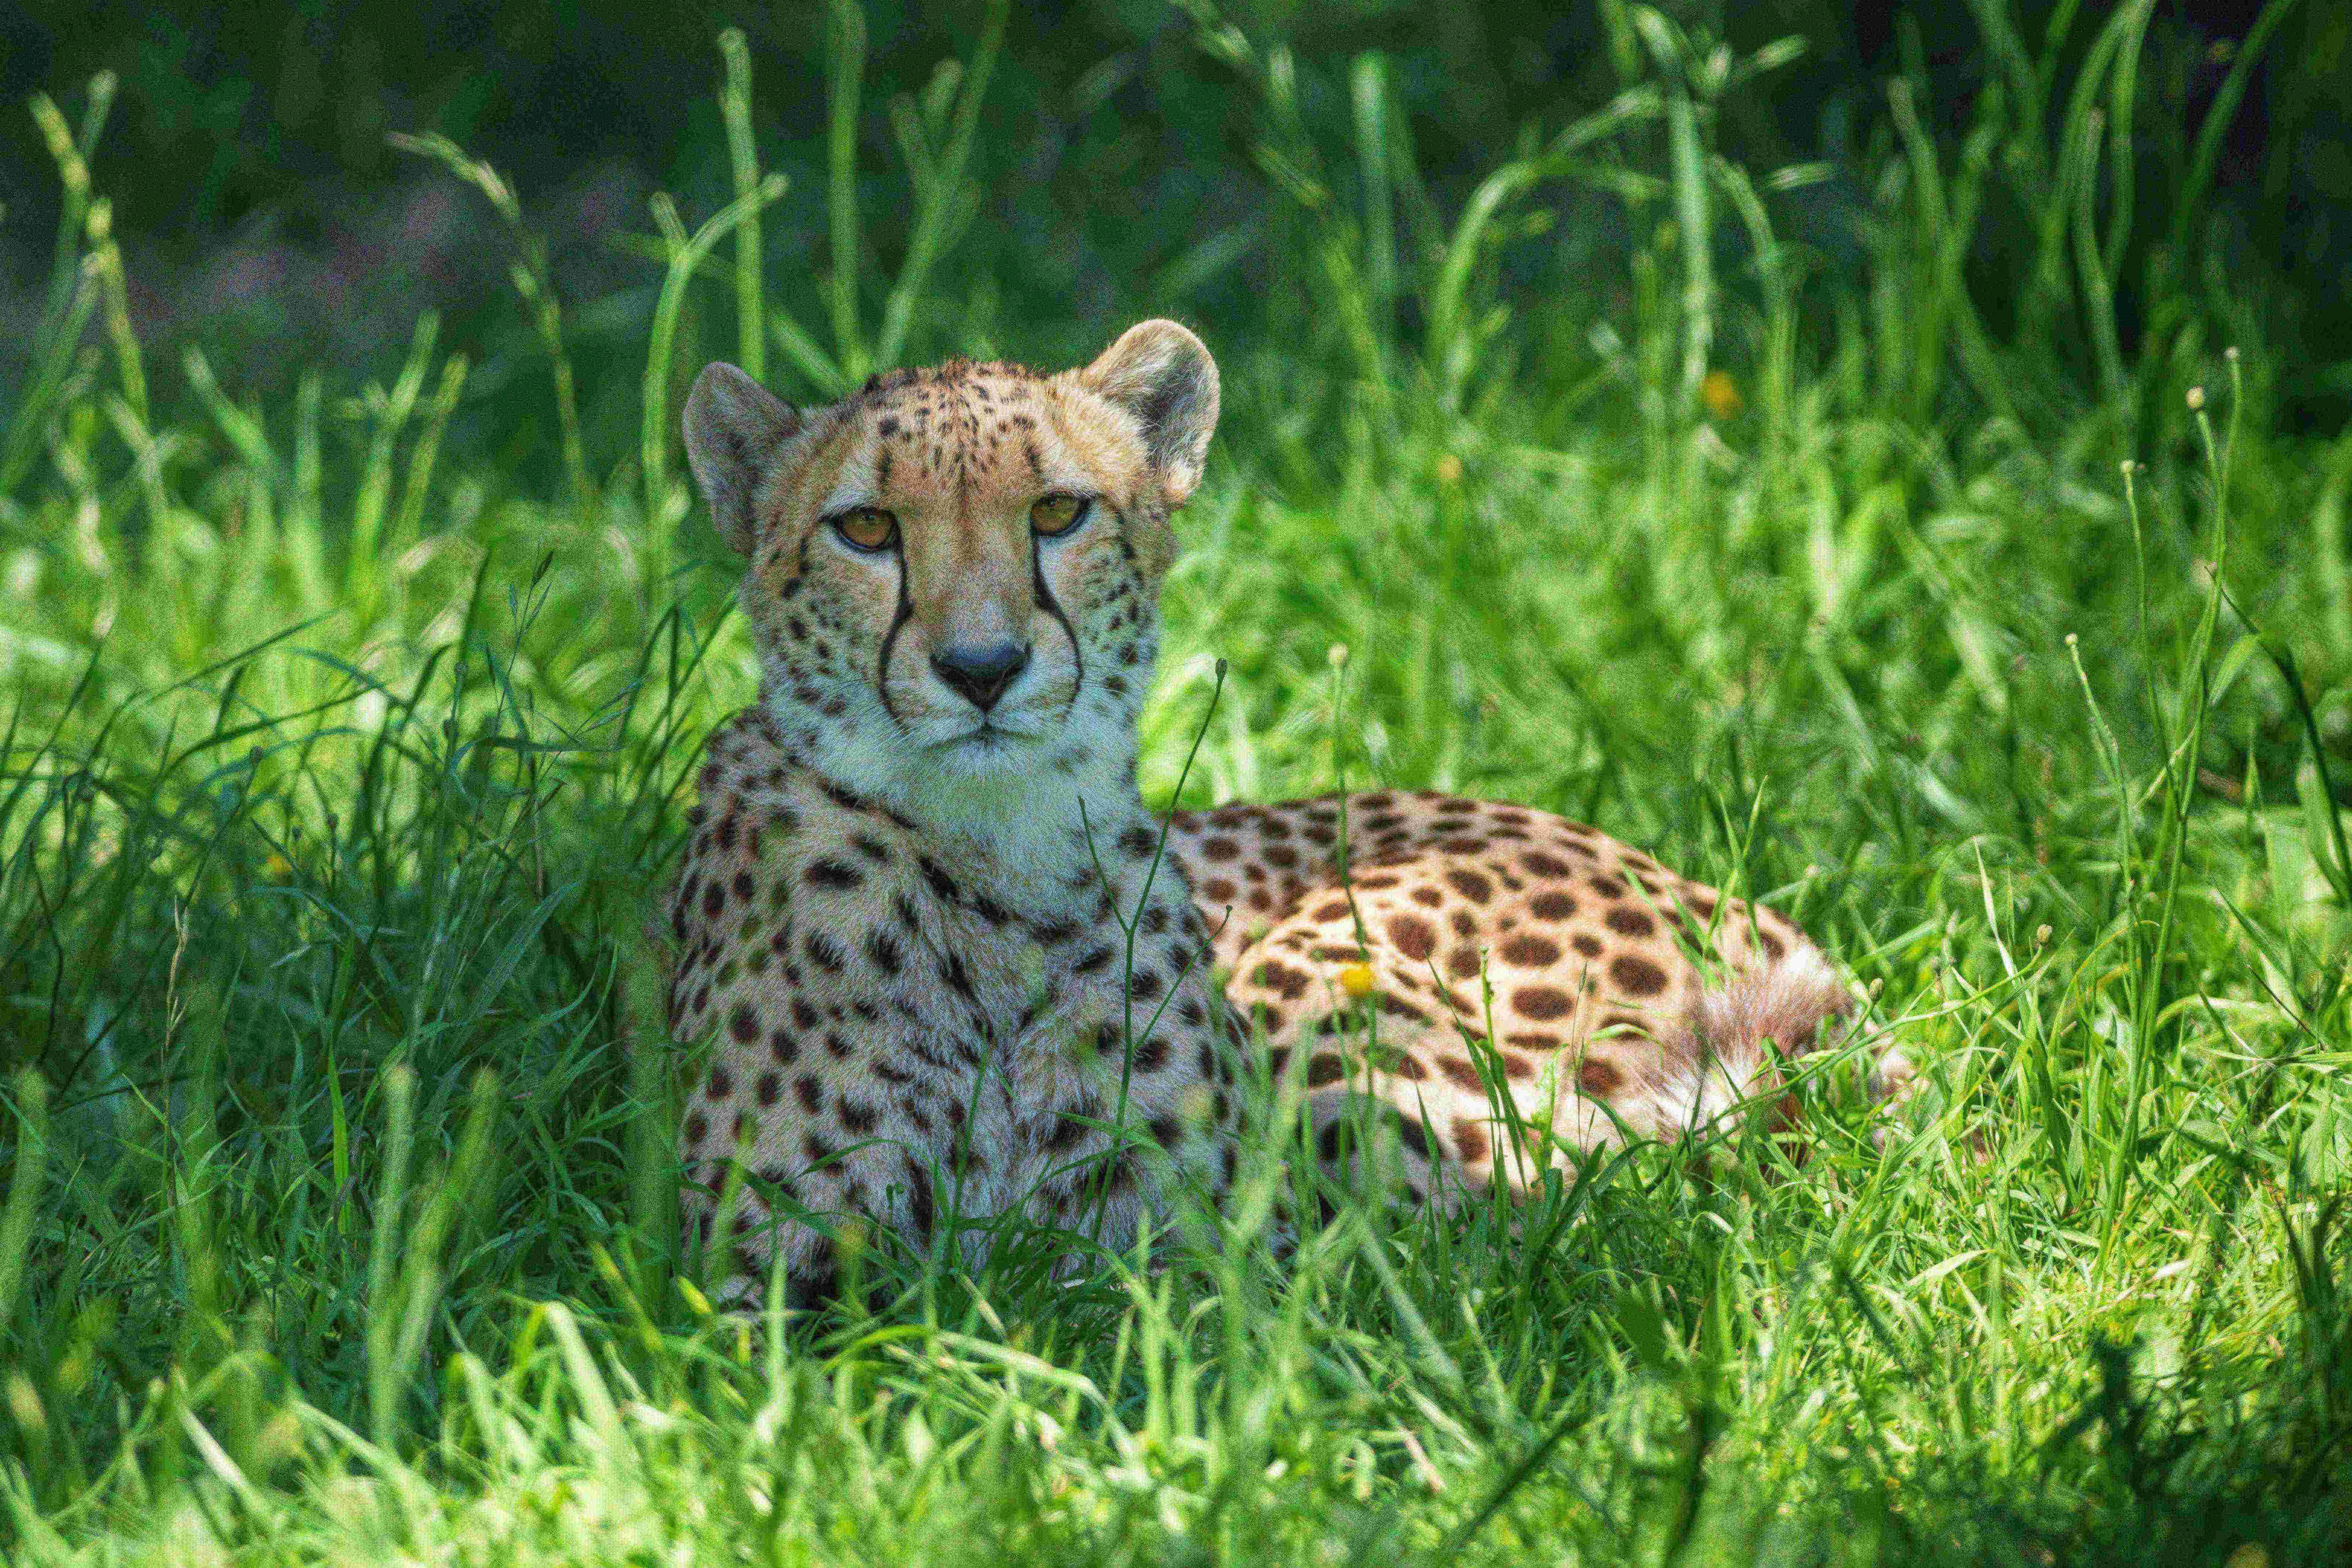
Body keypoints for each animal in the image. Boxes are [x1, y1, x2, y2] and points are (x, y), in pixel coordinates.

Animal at [668, 320, 1910, 1298]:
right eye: (866, 528)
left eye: (1058, 512)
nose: (984, 667)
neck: (997, 857)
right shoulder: (752, 1285)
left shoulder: (1186, 1265)